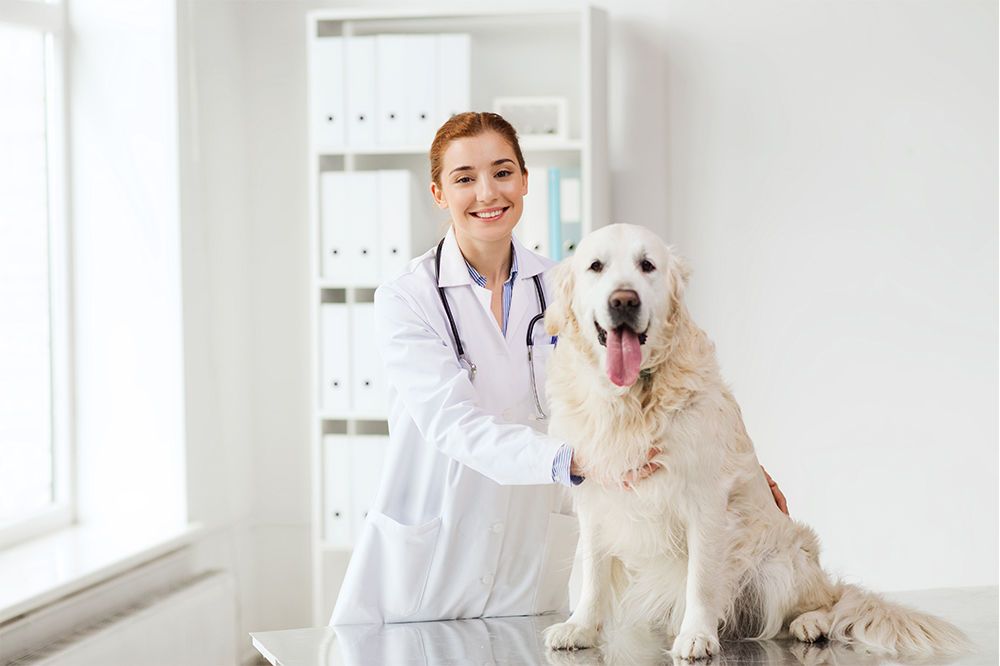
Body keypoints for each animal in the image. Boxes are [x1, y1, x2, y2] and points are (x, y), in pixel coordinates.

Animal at [540, 222, 968, 660]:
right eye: (596, 266)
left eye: (647, 265)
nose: (624, 300)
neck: (629, 399)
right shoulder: (595, 498)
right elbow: (592, 574)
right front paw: (581, 627)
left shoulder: (706, 501)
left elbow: (700, 579)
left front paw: (696, 634)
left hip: (783, 562)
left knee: (829, 602)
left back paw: (811, 623)